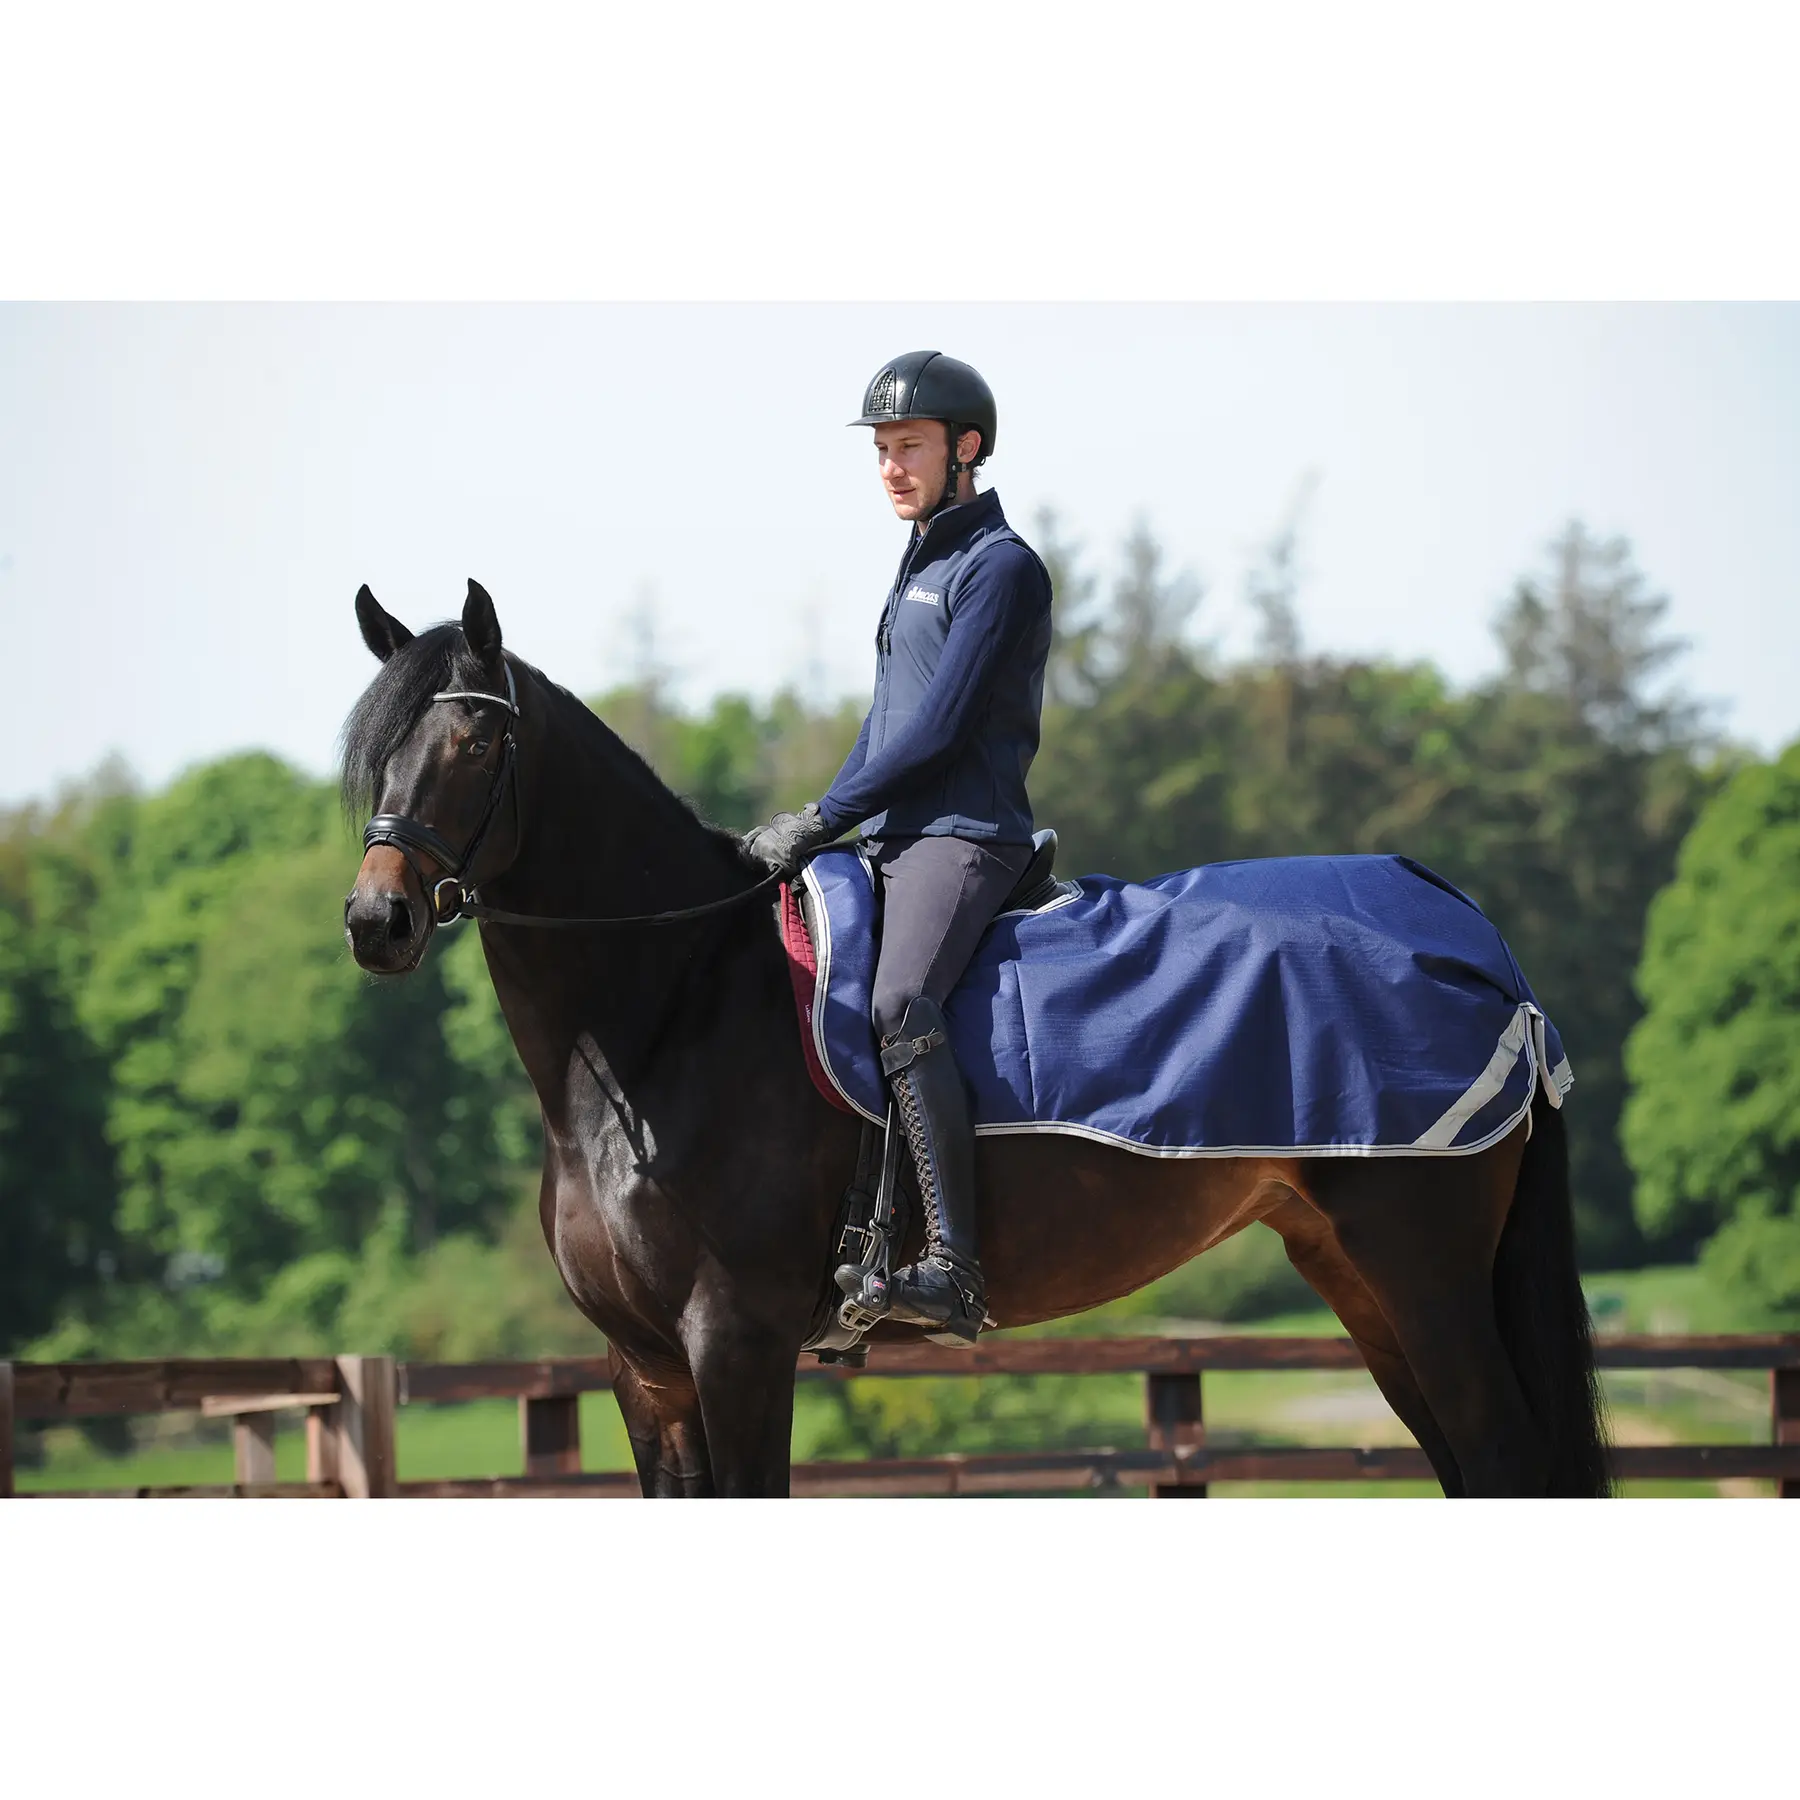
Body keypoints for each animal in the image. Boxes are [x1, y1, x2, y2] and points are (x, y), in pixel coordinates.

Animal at [341, 580, 1609, 1497]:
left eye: (471, 746)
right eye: (372, 750)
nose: (375, 919)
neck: (668, 1016)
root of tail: (1463, 927)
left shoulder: (735, 1344)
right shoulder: (646, 1372)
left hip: (1424, 1271)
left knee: (1504, 1462)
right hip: (1360, 1276)